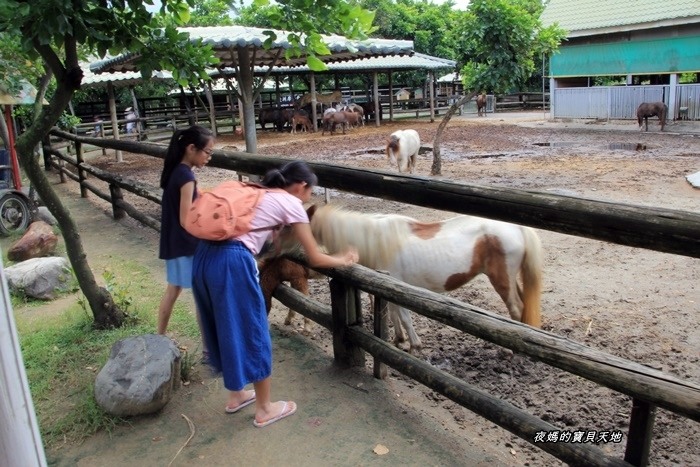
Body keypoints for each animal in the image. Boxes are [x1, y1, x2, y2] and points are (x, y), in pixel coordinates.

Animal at [308, 205, 544, 354]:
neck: (375, 239)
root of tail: (517, 227)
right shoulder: (385, 286)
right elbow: (393, 314)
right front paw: (398, 339)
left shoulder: (397, 286)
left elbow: (403, 316)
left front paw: (414, 346)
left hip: (502, 280)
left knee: (515, 309)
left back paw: (510, 351)